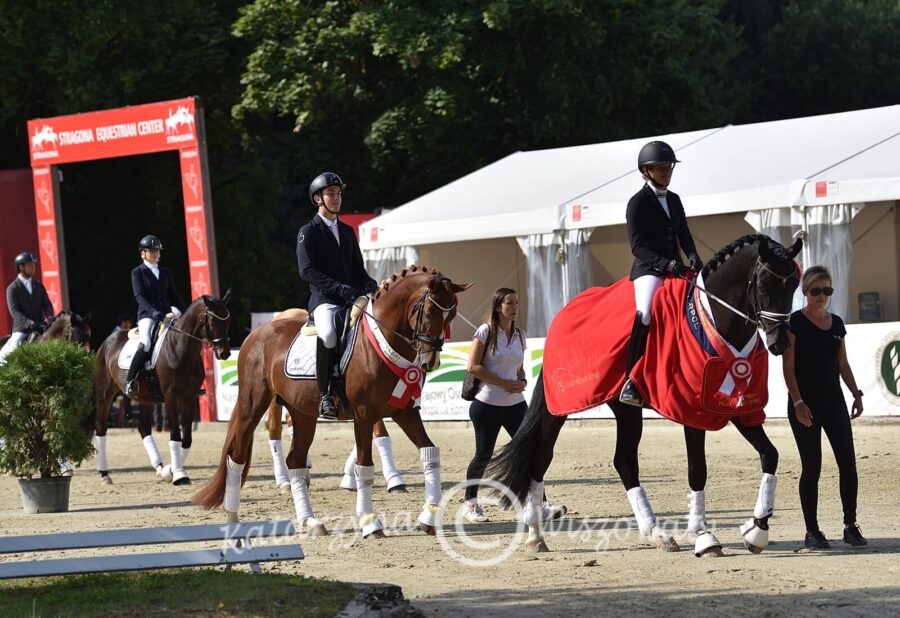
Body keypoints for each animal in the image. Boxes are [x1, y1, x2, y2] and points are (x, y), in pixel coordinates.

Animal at [91, 292, 230, 484]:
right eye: (212, 321)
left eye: (227, 320)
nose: (225, 353)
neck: (181, 349)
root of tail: (108, 341)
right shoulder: (171, 396)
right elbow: (175, 435)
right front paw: (179, 475)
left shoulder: (189, 397)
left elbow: (187, 439)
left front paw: (170, 470)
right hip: (105, 394)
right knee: (101, 428)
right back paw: (105, 474)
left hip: (145, 398)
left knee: (143, 429)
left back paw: (159, 468)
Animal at [196, 264, 472, 536]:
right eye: (429, 313)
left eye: (451, 316)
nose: (429, 363)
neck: (382, 340)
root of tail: (257, 333)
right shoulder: (364, 414)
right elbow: (365, 466)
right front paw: (370, 522)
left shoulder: (404, 411)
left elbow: (430, 453)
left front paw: (429, 516)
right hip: (253, 405)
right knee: (237, 455)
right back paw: (233, 520)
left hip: (302, 413)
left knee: (295, 460)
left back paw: (310, 521)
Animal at [486, 233, 800, 556]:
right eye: (762, 285)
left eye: (794, 285)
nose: (779, 343)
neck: (713, 320)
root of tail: (564, 312)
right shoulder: (692, 411)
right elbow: (697, 470)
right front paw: (704, 536)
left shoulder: (734, 407)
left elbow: (770, 455)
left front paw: (756, 530)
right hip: (558, 407)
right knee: (542, 457)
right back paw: (535, 535)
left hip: (625, 408)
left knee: (624, 461)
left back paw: (657, 533)